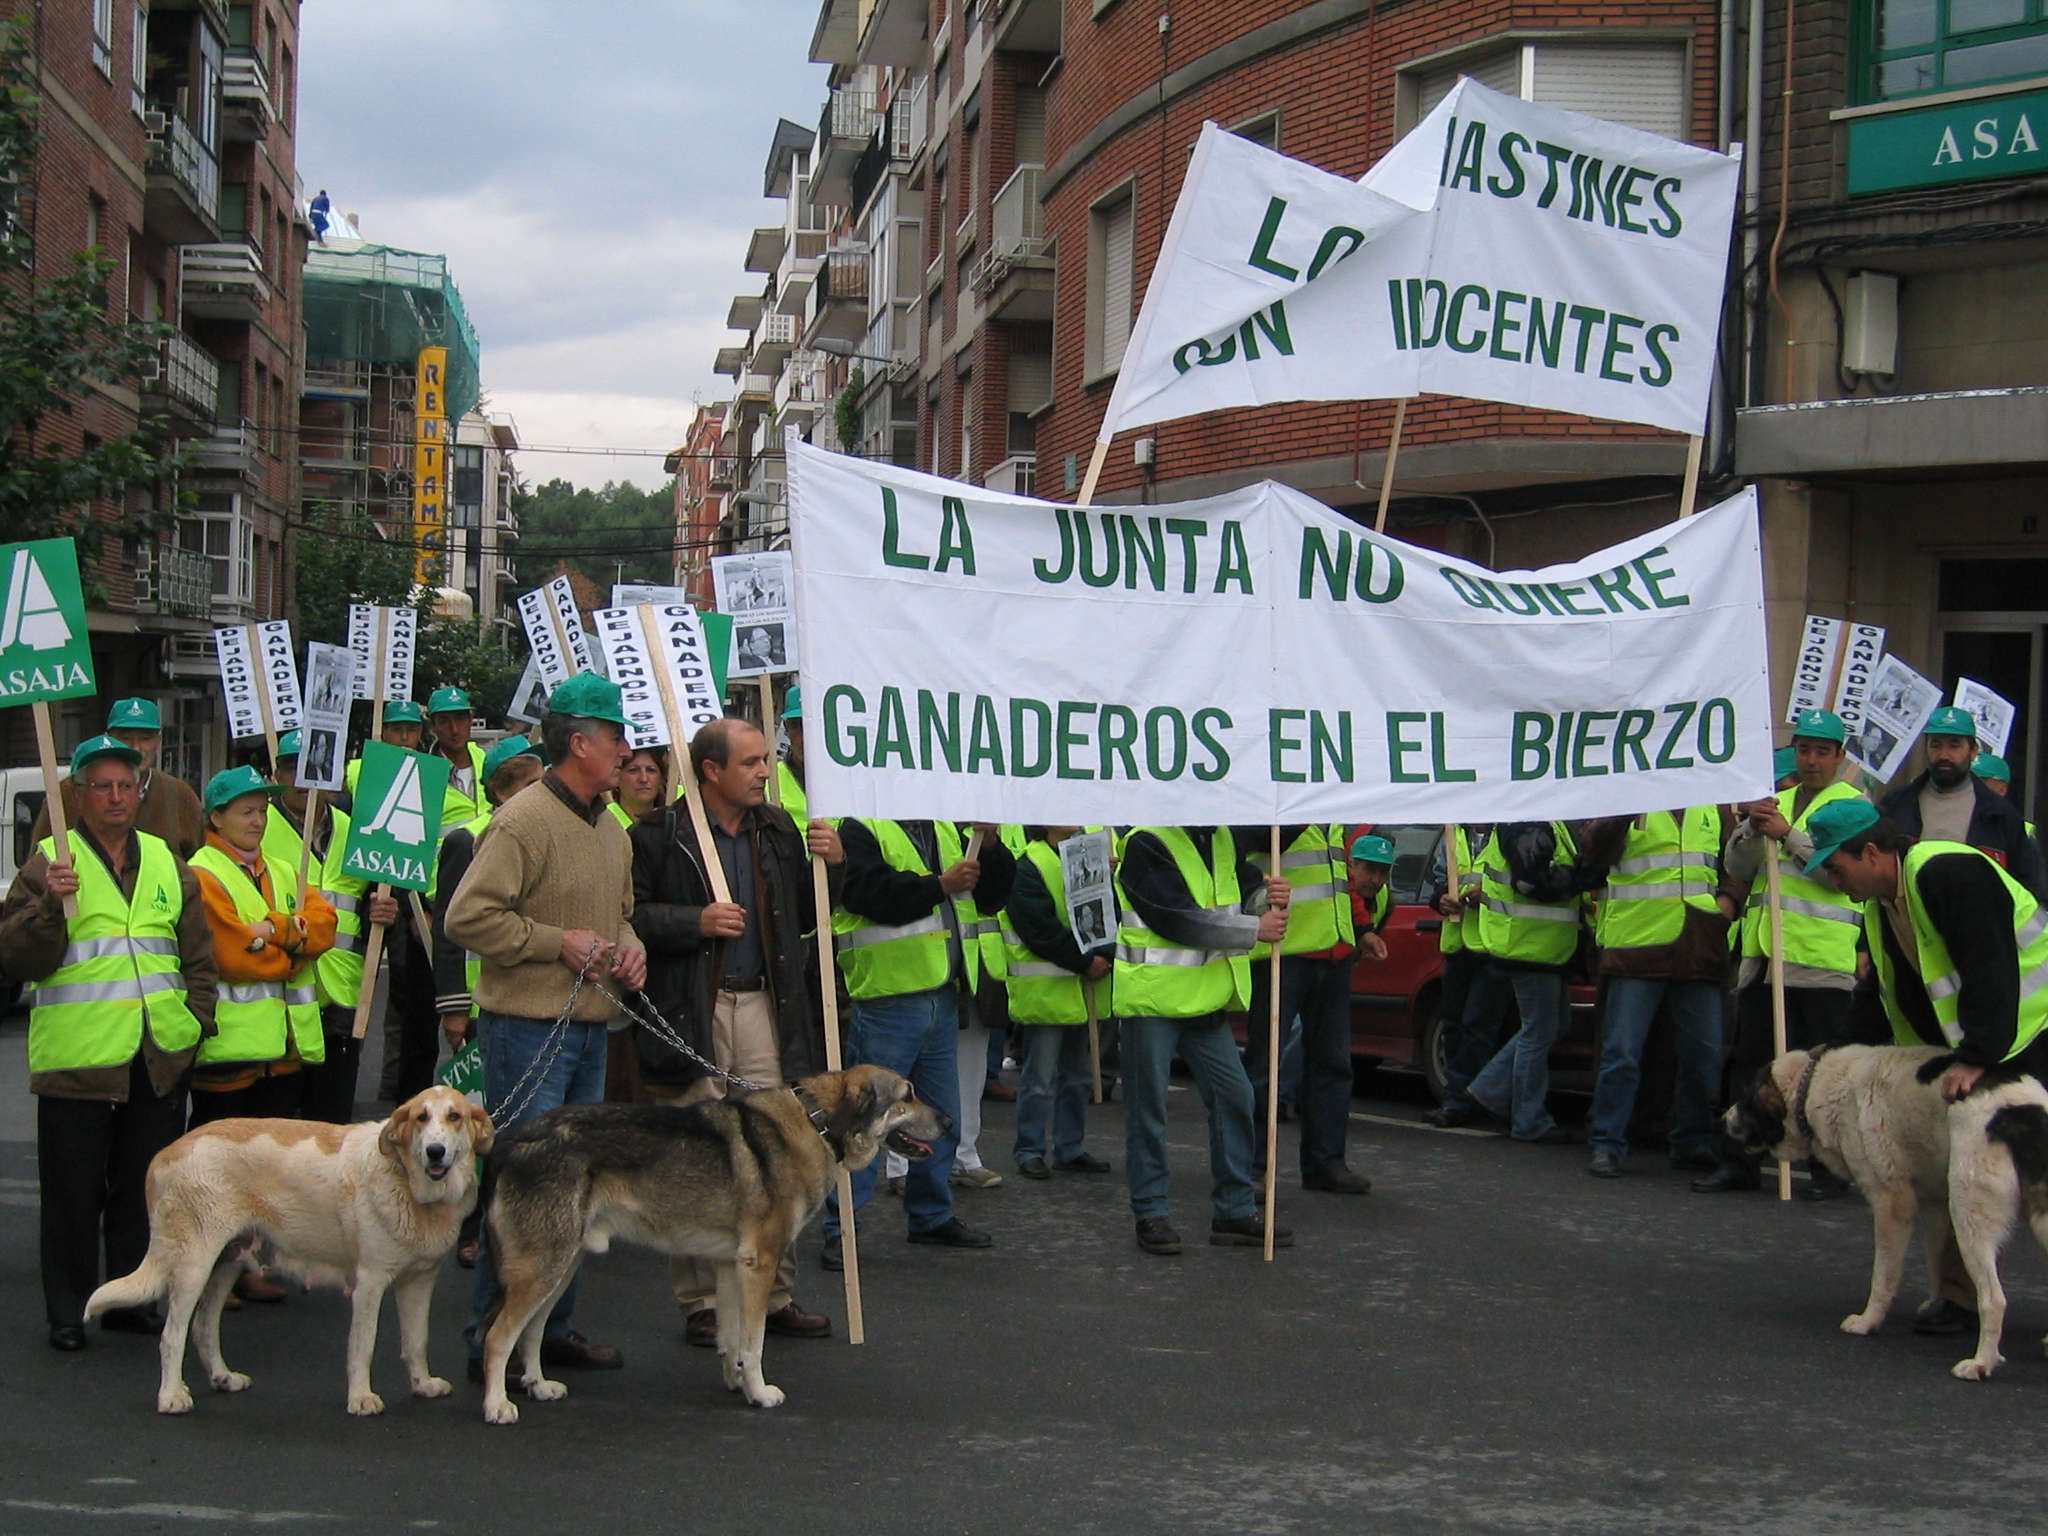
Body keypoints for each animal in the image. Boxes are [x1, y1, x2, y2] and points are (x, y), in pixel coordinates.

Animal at [87, 1086, 492, 1416]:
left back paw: (223, 1377)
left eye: (454, 1117)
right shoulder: (370, 1283)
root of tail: (168, 1151)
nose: (435, 1151)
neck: (408, 1182)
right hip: (193, 1267)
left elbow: (417, 1341)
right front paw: (361, 1398)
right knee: (173, 1335)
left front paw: (422, 1384)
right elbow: (364, 1344)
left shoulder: (420, 1282)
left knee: (203, 1328)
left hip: (226, 1264)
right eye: (421, 1117)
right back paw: (171, 1396)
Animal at [477, 1063, 947, 1423]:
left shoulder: (730, 1265)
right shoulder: (760, 1264)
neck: (816, 1123)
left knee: (531, 1333)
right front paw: (760, 1394)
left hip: (560, 1269)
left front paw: (737, 1384)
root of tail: (510, 1141)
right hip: (543, 1271)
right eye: (907, 1095)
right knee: (498, 1337)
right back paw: (497, 1405)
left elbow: (732, 1339)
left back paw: (539, 1386)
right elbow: (754, 1342)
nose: (949, 1123)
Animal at [1725, 1044, 2048, 1380]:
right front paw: (1936, 1303)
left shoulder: (1891, 1203)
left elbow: (1883, 1275)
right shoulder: (1934, 1204)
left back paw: (1981, 1362)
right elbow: (1935, 1259)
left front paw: (1869, 1321)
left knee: (1994, 1300)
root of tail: (2019, 1111)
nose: (1724, 1118)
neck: (1816, 1084)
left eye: (1747, 1098)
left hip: (1970, 1221)